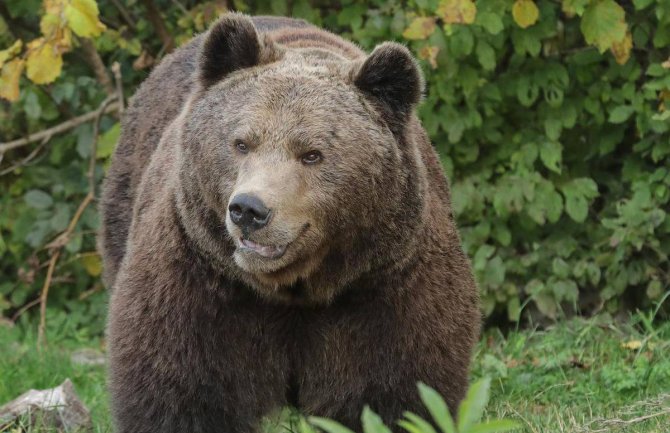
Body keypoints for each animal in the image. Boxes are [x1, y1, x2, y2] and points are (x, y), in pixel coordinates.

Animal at [98, 11, 478, 432]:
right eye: (242, 142)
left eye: (312, 154)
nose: (248, 209)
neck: (294, 288)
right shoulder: (200, 281)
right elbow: (181, 392)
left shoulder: (386, 285)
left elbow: (395, 393)